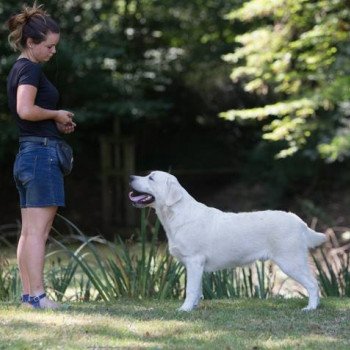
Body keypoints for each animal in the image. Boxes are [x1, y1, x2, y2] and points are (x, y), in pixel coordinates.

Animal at [129, 171, 328, 310]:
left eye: (151, 178)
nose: (130, 177)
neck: (177, 214)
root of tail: (300, 222)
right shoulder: (195, 265)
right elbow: (198, 289)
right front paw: (194, 307)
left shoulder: (194, 261)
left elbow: (190, 289)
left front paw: (184, 309)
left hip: (291, 261)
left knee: (313, 283)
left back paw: (310, 308)